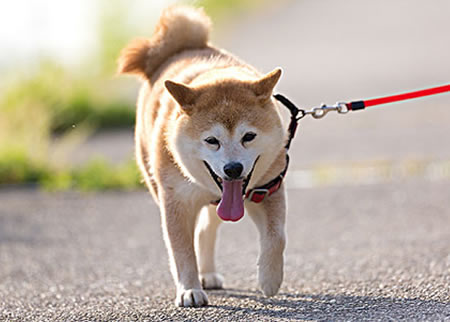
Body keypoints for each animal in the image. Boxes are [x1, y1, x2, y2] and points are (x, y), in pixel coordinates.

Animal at [118, 5, 286, 306]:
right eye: (211, 141)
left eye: (249, 136)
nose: (233, 169)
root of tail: (180, 48)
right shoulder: (176, 202)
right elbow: (182, 251)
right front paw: (189, 290)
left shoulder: (268, 189)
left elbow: (276, 237)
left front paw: (269, 279)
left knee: (206, 230)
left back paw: (208, 273)